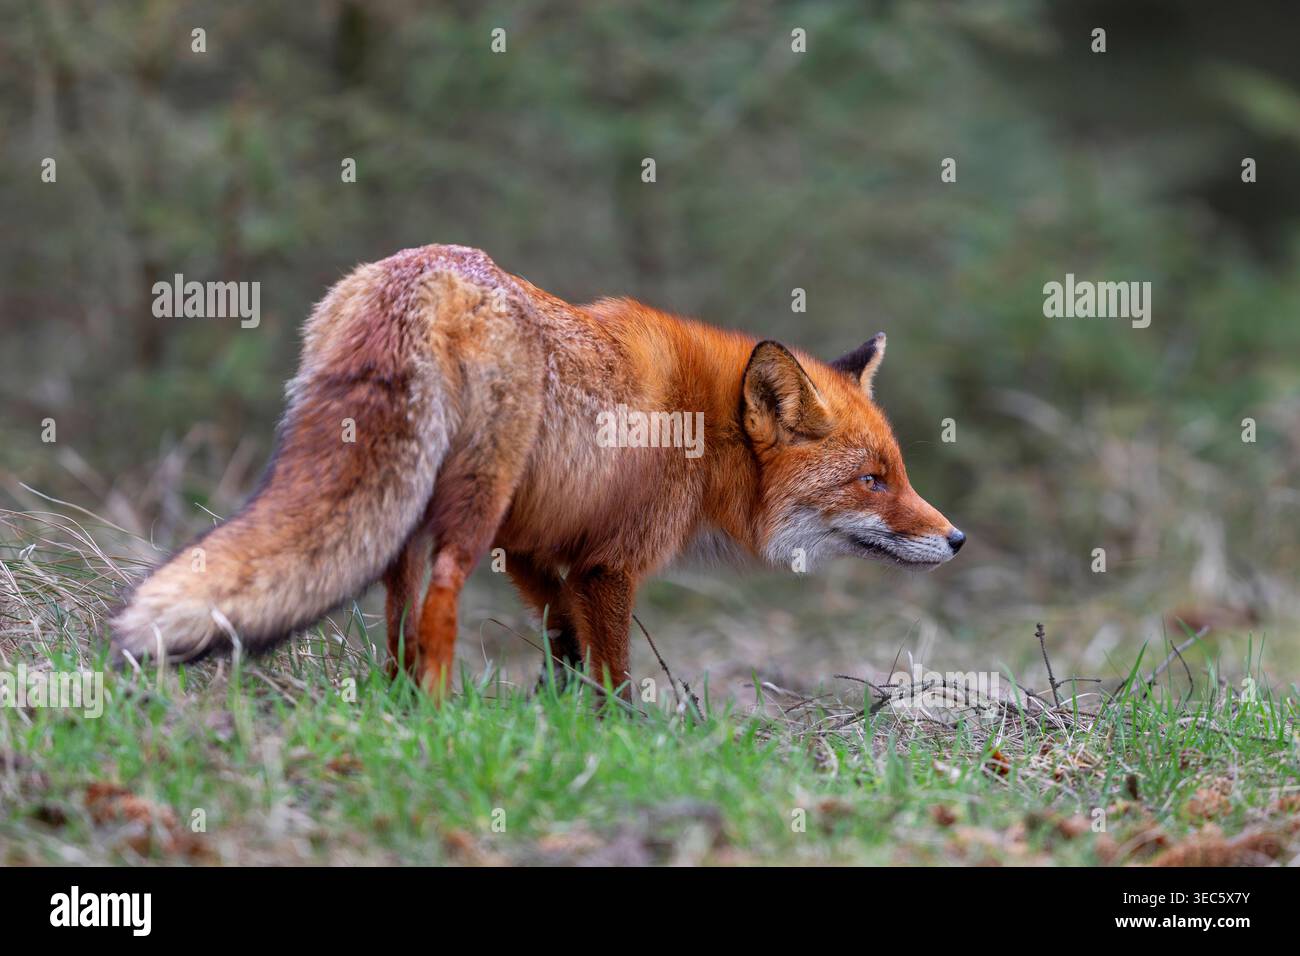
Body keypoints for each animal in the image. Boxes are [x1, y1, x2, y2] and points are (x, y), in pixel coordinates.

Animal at [111, 243, 964, 696]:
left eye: (897, 473)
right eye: (873, 481)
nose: (957, 539)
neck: (699, 426)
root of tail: (422, 274)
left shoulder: (533, 544)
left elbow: (561, 630)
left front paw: (560, 699)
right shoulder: (609, 563)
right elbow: (612, 666)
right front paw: (617, 732)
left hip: (415, 510)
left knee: (397, 606)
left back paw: (395, 699)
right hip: (470, 506)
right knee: (439, 604)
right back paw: (436, 713)